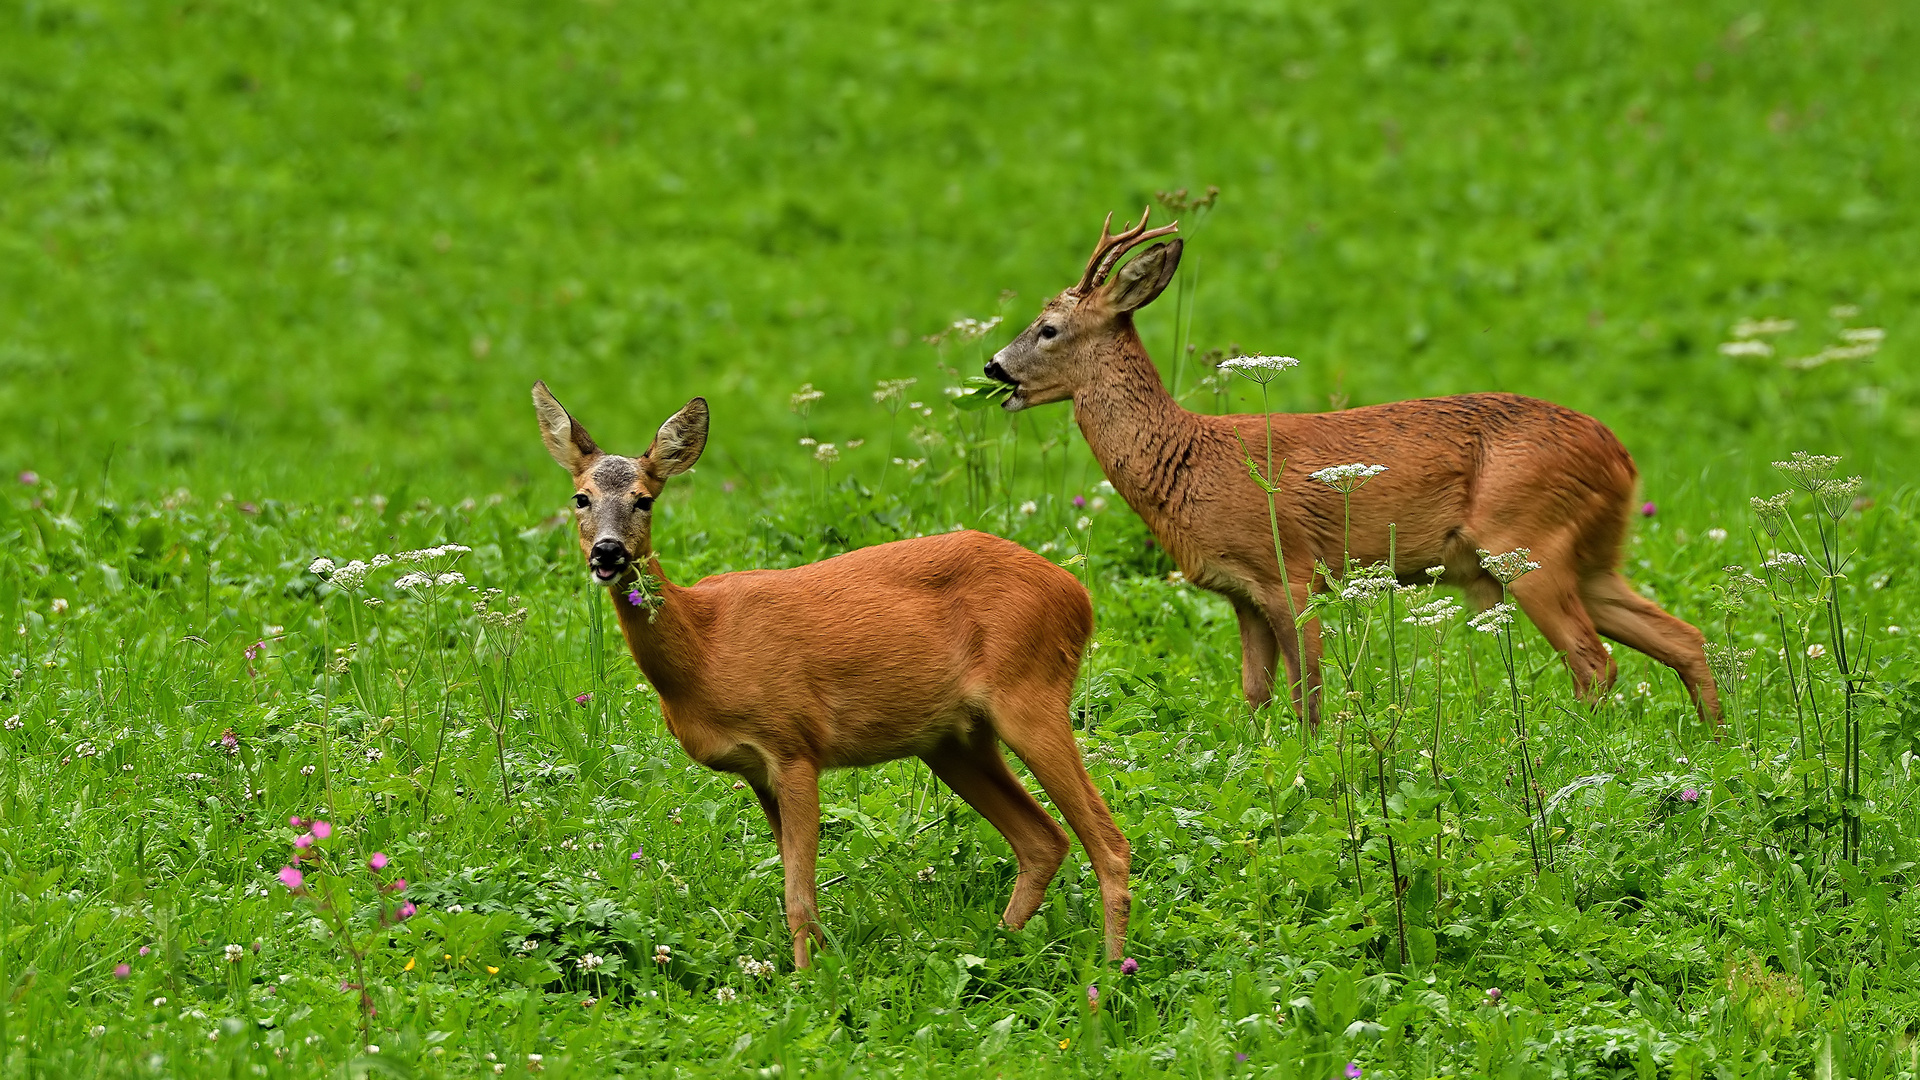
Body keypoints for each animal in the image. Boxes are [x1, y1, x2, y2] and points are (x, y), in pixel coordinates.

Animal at [529, 380, 1121, 968]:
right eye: (581, 498)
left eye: (644, 499)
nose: (608, 552)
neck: (705, 650)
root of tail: (1080, 595)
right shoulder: (756, 771)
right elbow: (793, 884)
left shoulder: (793, 743)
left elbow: (799, 897)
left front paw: (808, 981)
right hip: (954, 739)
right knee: (1044, 840)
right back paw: (997, 952)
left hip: (1031, 691)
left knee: (1108, 841)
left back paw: (1112, 970)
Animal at [983, 209, 1720, 722]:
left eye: (1048, 329)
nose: (993, 367)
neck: (1188, 459)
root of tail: (1619, 453)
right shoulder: (1241, 592)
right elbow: (1254, 695)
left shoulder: (1291, 571)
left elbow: (1307, 693)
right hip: (1588, 555)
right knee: (1684, 637)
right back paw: (1716, 743)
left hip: (1527, 541)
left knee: (1595, 662)